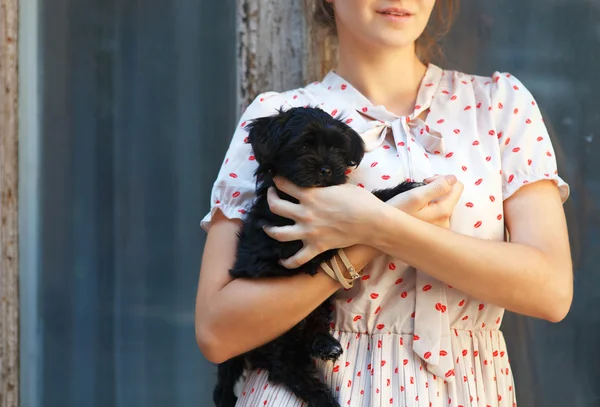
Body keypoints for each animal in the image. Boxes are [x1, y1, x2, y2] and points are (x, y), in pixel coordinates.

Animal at [213, 107, 424, 406]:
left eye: (337, 148)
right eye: (302, 146)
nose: (326, 170)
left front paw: (400, 190)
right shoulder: (292, 243)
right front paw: (397, 192)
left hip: (316, 309)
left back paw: (325, 344)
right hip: (273, 333)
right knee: (290, 369)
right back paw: (325, 397)